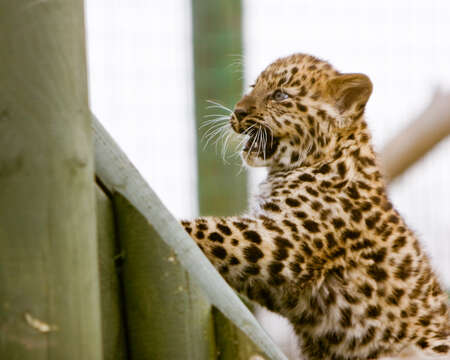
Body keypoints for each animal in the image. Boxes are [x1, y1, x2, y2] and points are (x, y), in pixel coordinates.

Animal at [181, 53, 448, 360]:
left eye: (280, 95)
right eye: (253, 87)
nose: (237, 112)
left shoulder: (279, 240)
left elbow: (214, 229)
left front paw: (179, 223)